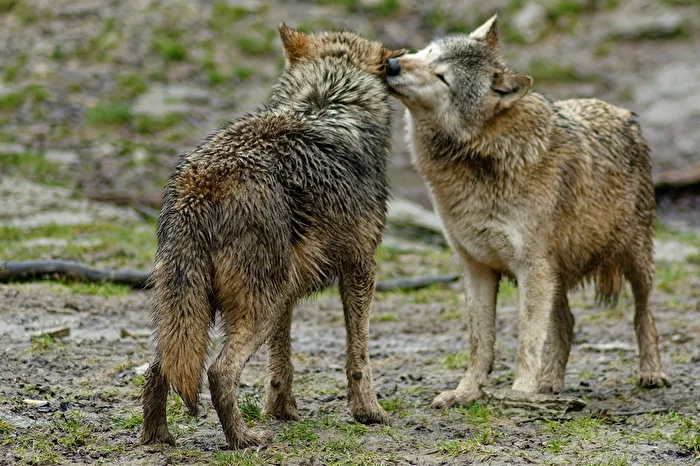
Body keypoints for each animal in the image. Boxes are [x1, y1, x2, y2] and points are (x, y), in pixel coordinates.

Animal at [140, 25, 404, 449]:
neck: (328, 100)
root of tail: (199, 185)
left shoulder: (288, 294)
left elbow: (282, 361)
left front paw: (282, 410)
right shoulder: (361, 269)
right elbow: (359, 355)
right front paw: (369, 412)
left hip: (195, 309)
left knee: (159, 366)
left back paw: (157, 437)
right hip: (253, 307)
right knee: (219, 372)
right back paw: (243, 439)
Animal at [386, 15, 669, 409]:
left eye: (442, 77)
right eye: (427, 52)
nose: (391, 64)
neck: (480, 158)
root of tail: (625, 112)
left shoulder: (530, 269)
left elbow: (526, 340)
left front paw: (519, 391)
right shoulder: (476, 267)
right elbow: (480, 343)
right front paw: (466, 392)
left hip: (633, 261)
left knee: (645, 314)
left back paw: (651, 374)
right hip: (556, 277)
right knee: (568, 323)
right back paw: (549, 385)